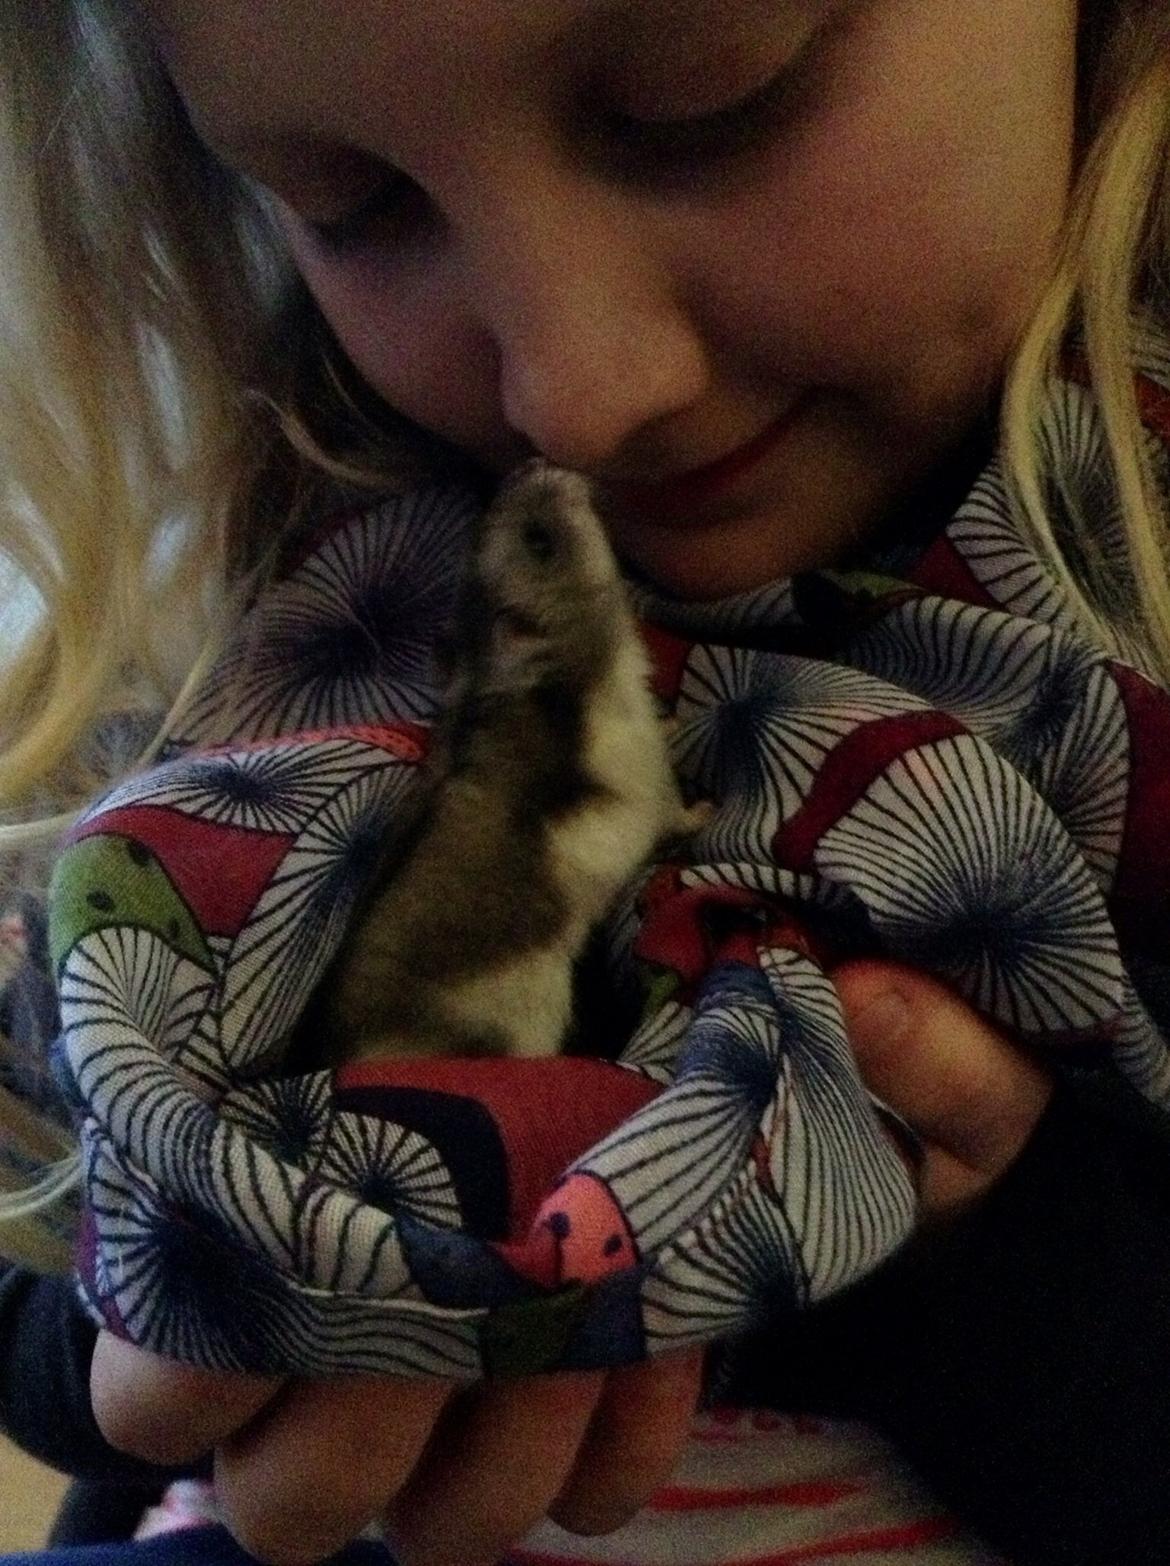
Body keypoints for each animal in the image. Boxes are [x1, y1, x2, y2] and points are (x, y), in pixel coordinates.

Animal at [315, 459, 695, 1065]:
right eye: (539, 541)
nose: (534, 463)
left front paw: (676, 720)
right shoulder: (648, 784)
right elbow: (677, 815)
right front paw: (711, 807)